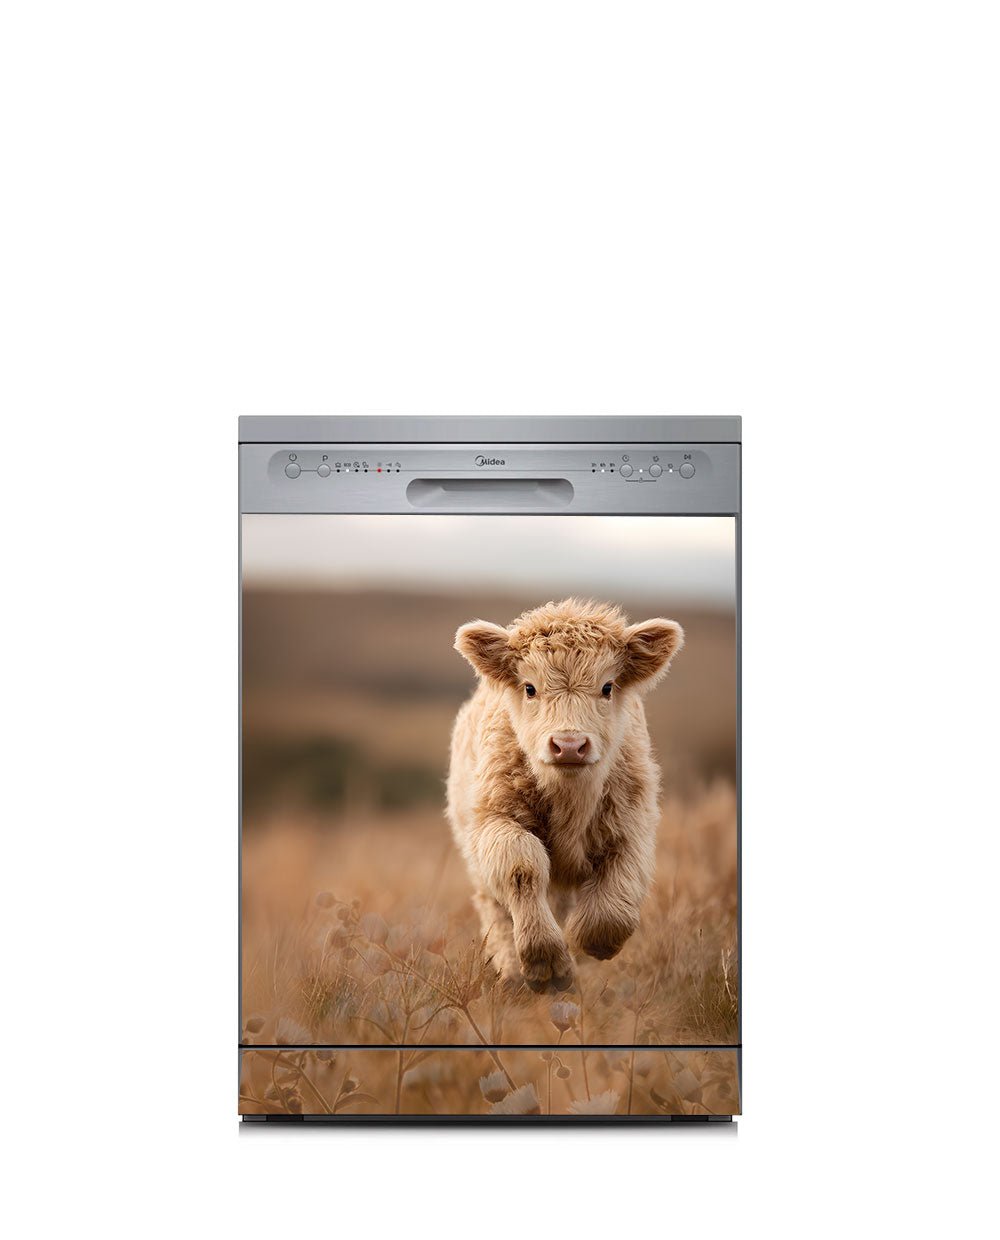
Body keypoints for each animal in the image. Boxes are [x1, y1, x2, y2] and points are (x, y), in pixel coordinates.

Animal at [446, 598, 684, 992]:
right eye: (530, 688)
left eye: (607, 687)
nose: (569, 745)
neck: (570, 801)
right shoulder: (495, 821)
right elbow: (521, 866)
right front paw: (547, 962)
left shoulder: (632, 827)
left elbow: (612, 906)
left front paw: (585, 942)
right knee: (498, 912)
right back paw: (514, 974)